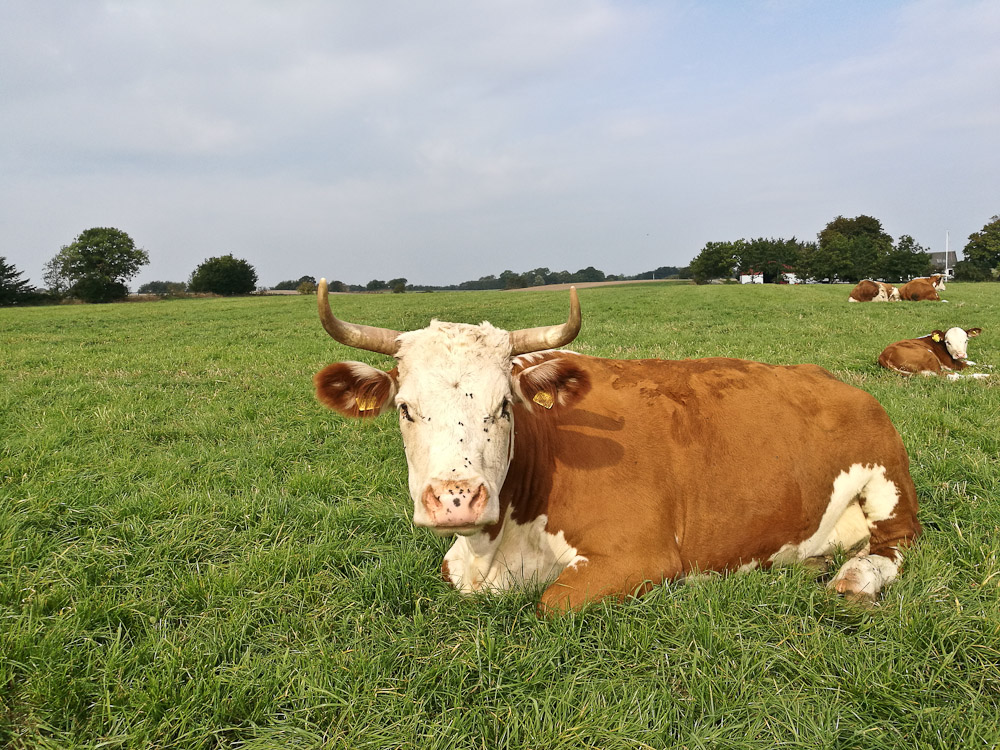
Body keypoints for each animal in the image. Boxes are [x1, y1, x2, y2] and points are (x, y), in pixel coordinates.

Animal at [312, 282, 920, 616]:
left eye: (503, 406)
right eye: (405, 408)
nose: (456, 498)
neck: (497, 549)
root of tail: (828, 377)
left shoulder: (641, 556)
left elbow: (552, 603)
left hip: (887, 485)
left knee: (895, 546)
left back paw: (855, 580)